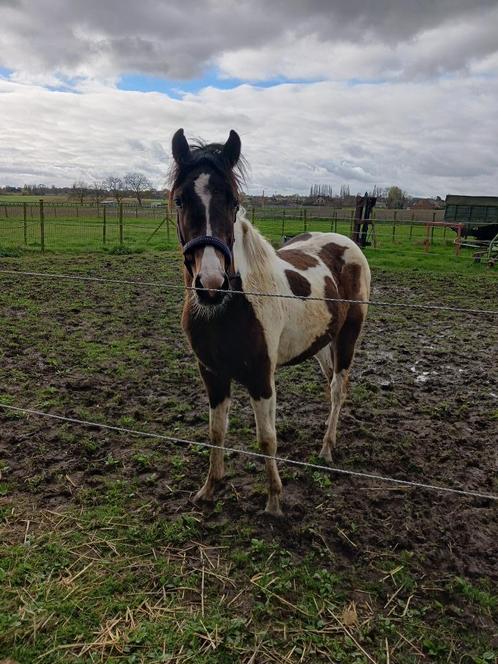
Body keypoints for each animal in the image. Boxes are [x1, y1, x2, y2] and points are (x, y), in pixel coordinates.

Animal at [170, 128, 370, 512]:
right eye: (180, 201)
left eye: (233, 202)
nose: (211, 285)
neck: (230, 308)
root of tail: (345, 241)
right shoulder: (212, 374)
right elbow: (216, 431)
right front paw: (210, 487)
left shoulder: (261, 376)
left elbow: (267, 439)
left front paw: (275, 500)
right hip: (321, 343)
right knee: (331, 385)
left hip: (348, 337)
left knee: (338, 389)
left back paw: (326, 448)